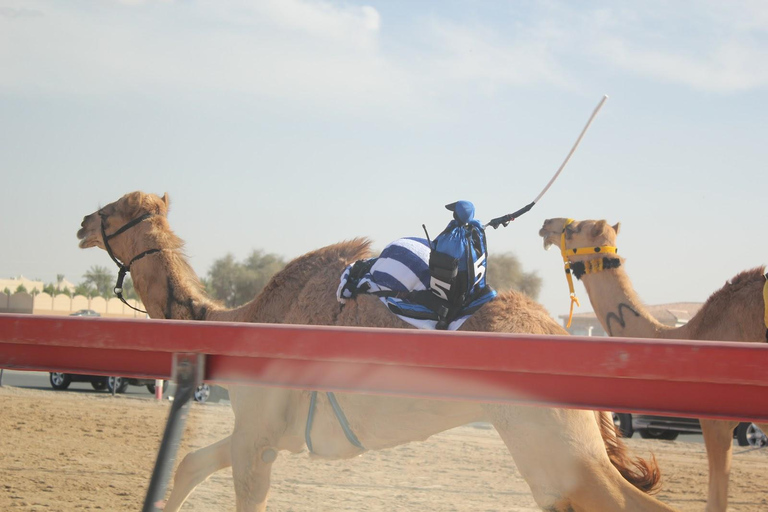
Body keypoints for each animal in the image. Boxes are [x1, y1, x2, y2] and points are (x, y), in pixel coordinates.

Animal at [78, 192, 680, 512]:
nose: (82, 222)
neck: (242, 322)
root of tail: (563, 334)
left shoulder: (257, 440)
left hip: (550, 443)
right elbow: (188, 465)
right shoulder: (262, 434)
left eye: (116, 210)